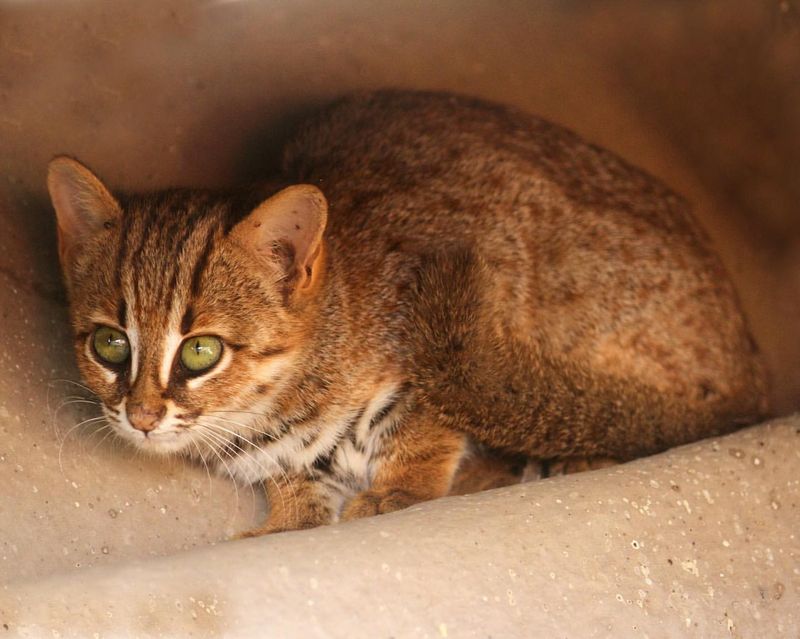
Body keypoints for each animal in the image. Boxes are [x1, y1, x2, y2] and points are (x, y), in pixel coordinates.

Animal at [47, 90, 764, 536]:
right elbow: (296, 487)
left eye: (201, 350)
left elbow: (425, 425)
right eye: (110, 344)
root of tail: (752, 367)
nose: (140, 417)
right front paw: (286, 518)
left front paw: (403, 487)